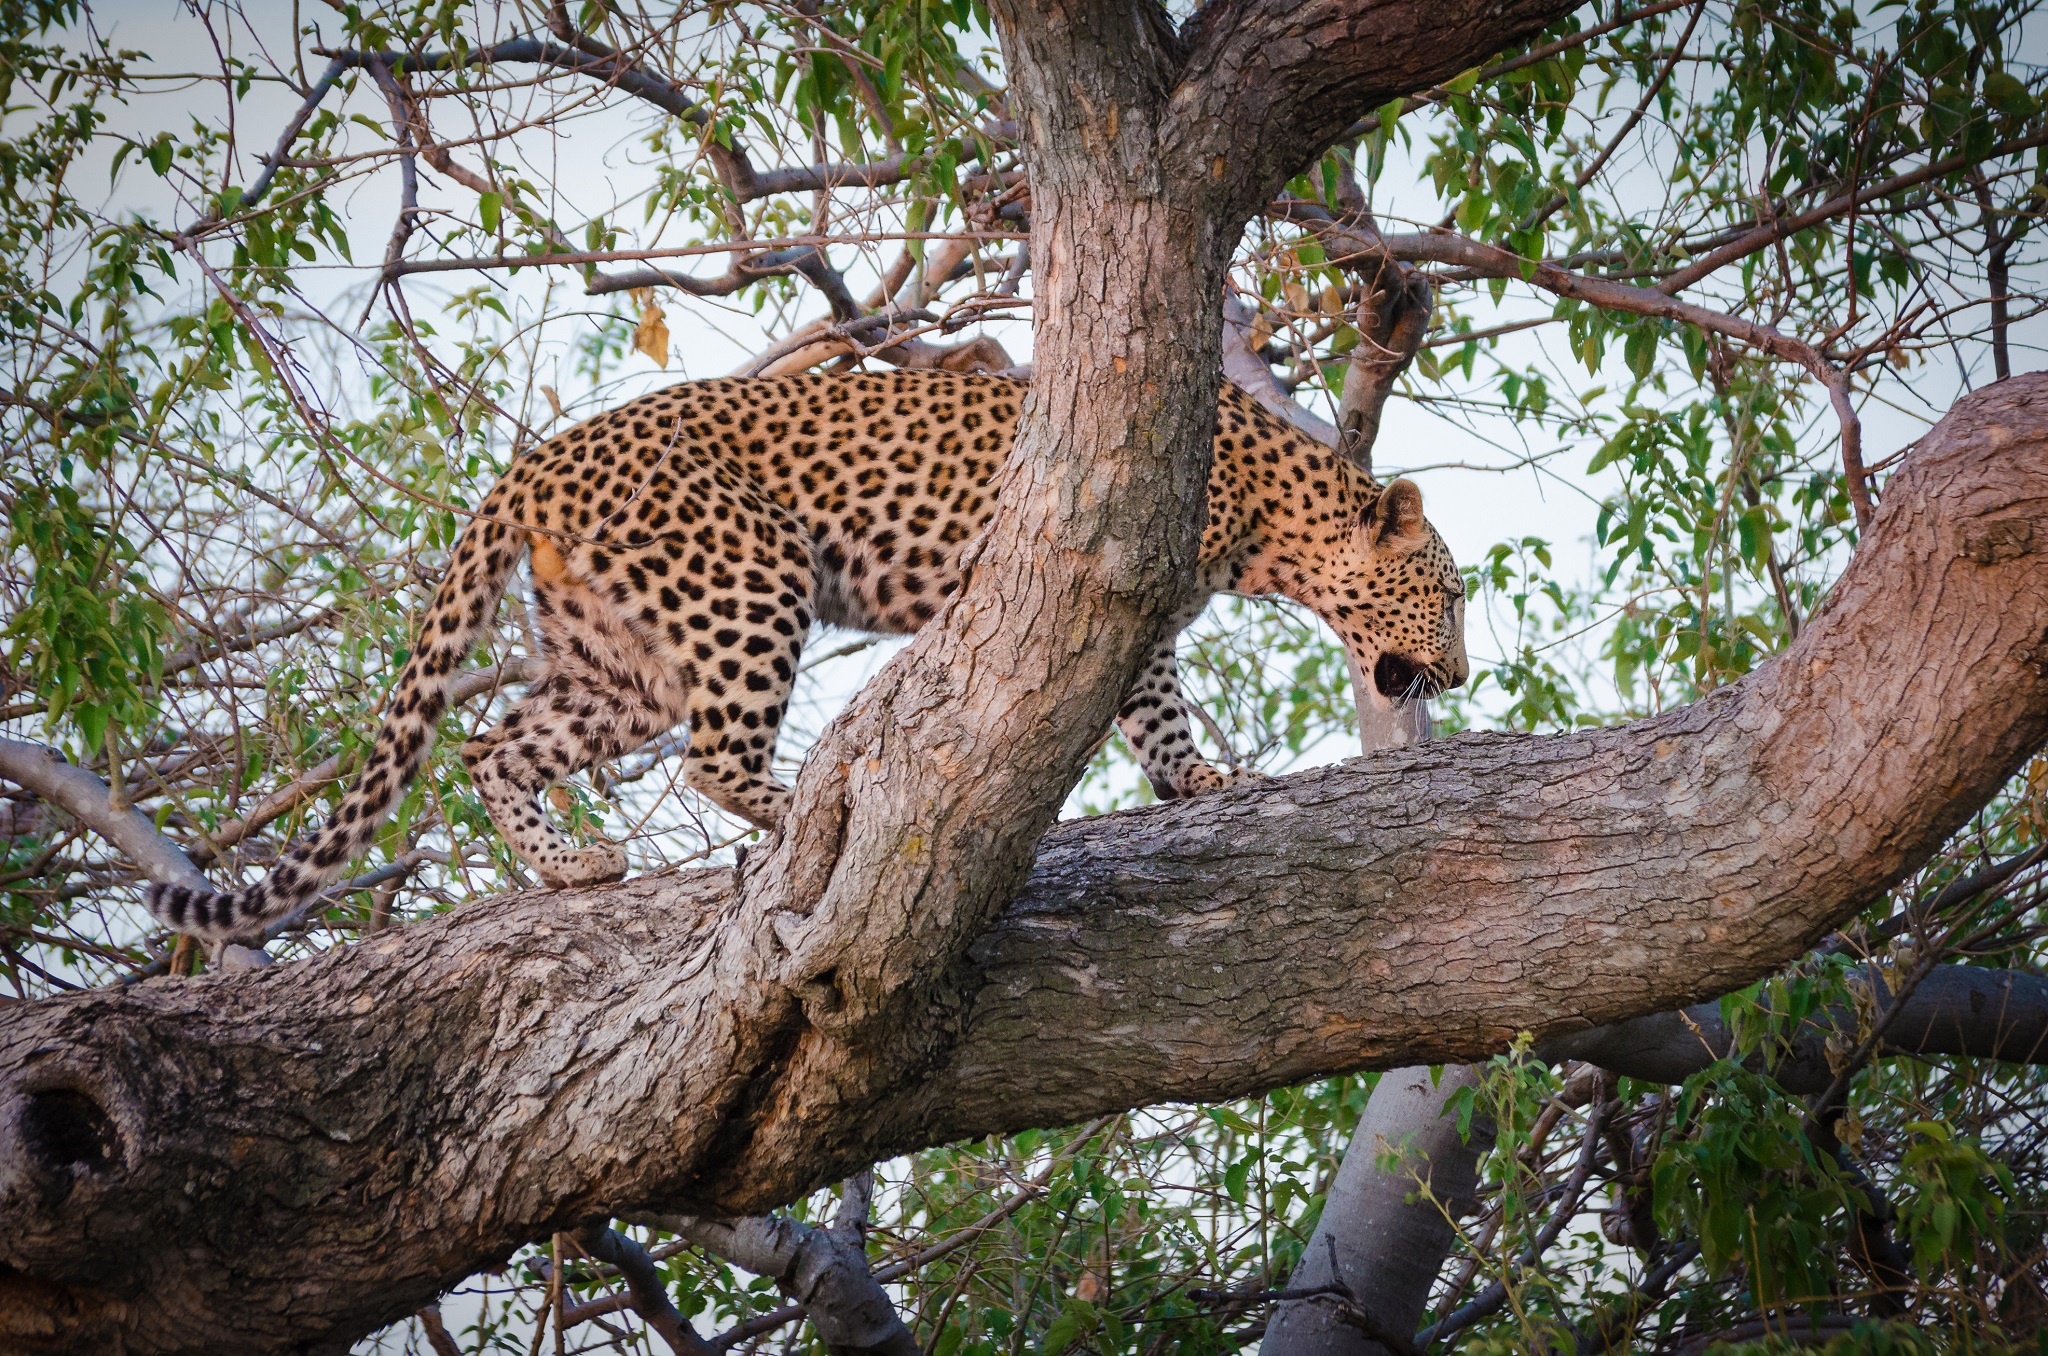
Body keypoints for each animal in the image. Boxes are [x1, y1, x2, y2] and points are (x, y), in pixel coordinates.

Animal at [148, 368, 1474, 946]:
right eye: (1452, 594)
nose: (1459, 676)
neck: (1272, 519)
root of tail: (533, 463)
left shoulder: (1133, 610)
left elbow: (1154, 715)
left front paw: (1197, 781)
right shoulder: (1101, 580)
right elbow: (1133, 698)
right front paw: (1195, 775)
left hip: (617, 659)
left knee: (493, 740)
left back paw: (571, 867)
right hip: (746, 577)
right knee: (710, 758)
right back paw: (798, 808)